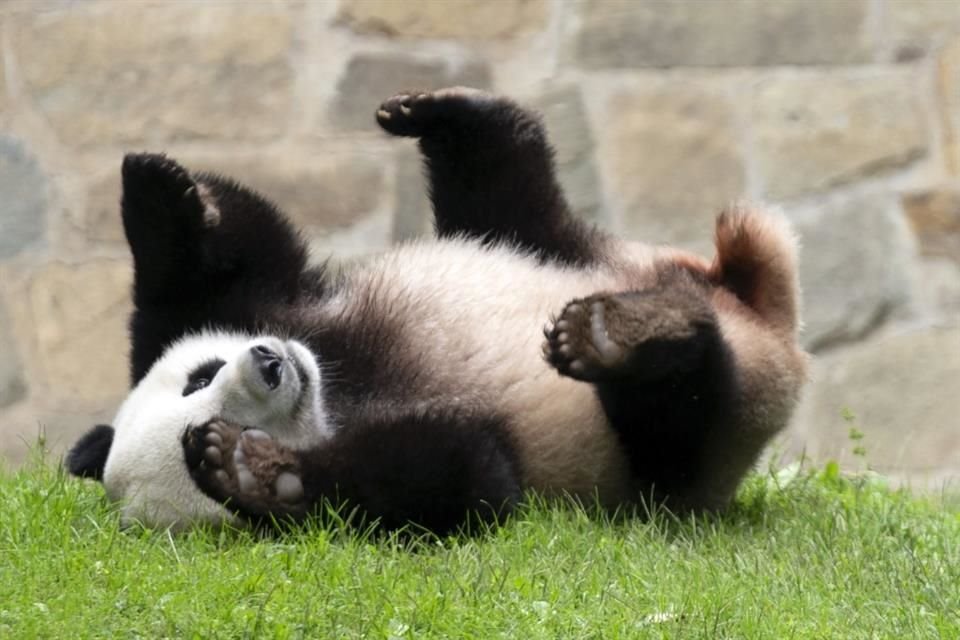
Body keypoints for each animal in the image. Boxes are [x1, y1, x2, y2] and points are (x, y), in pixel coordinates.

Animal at [65, 87, 808, 532]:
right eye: (215, 409)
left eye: (199, 376)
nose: (271, 364)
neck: (338, 387)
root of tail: (761, 317)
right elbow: (464, 479)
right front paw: (254, 472)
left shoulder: (276, 308)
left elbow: (231, 265)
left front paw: (157, 191)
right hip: (684, 453)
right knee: (679, 414)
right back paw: (624, 338)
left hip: (579, 252)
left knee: (512, 198)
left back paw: (448, 116)